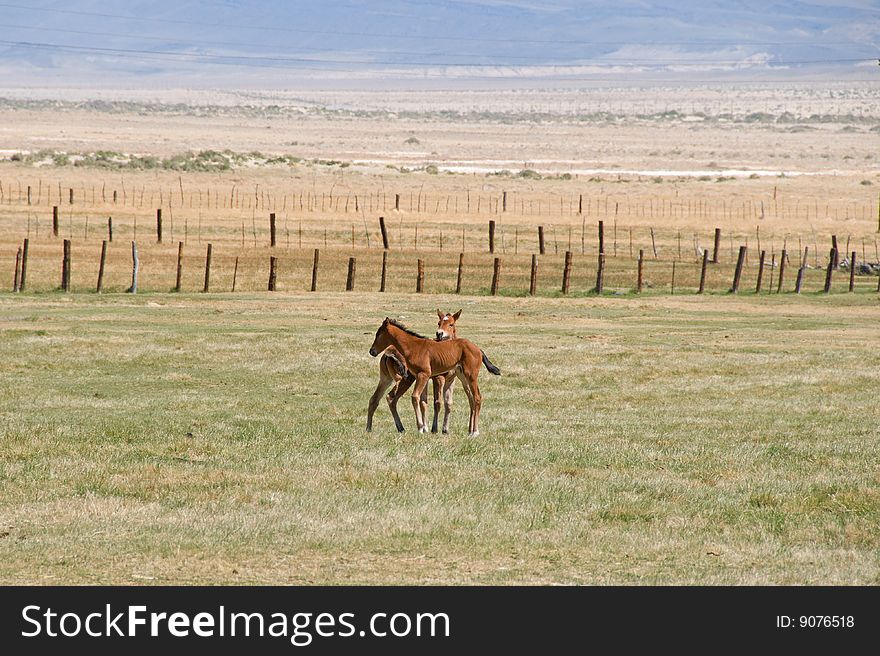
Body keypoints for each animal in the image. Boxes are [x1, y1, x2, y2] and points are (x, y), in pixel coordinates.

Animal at [368, 318, 498, 436]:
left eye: (378, 334)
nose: (371, 351)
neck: (413, 347)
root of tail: (478, 349)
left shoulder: (424, 375)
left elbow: (416, 397)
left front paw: (421, 428)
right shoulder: (422, 377)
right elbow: (423, 400)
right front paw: (427, 428)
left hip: (470, 376)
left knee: (476, 398)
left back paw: (475, 432)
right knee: (379, 398)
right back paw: (370, 428)